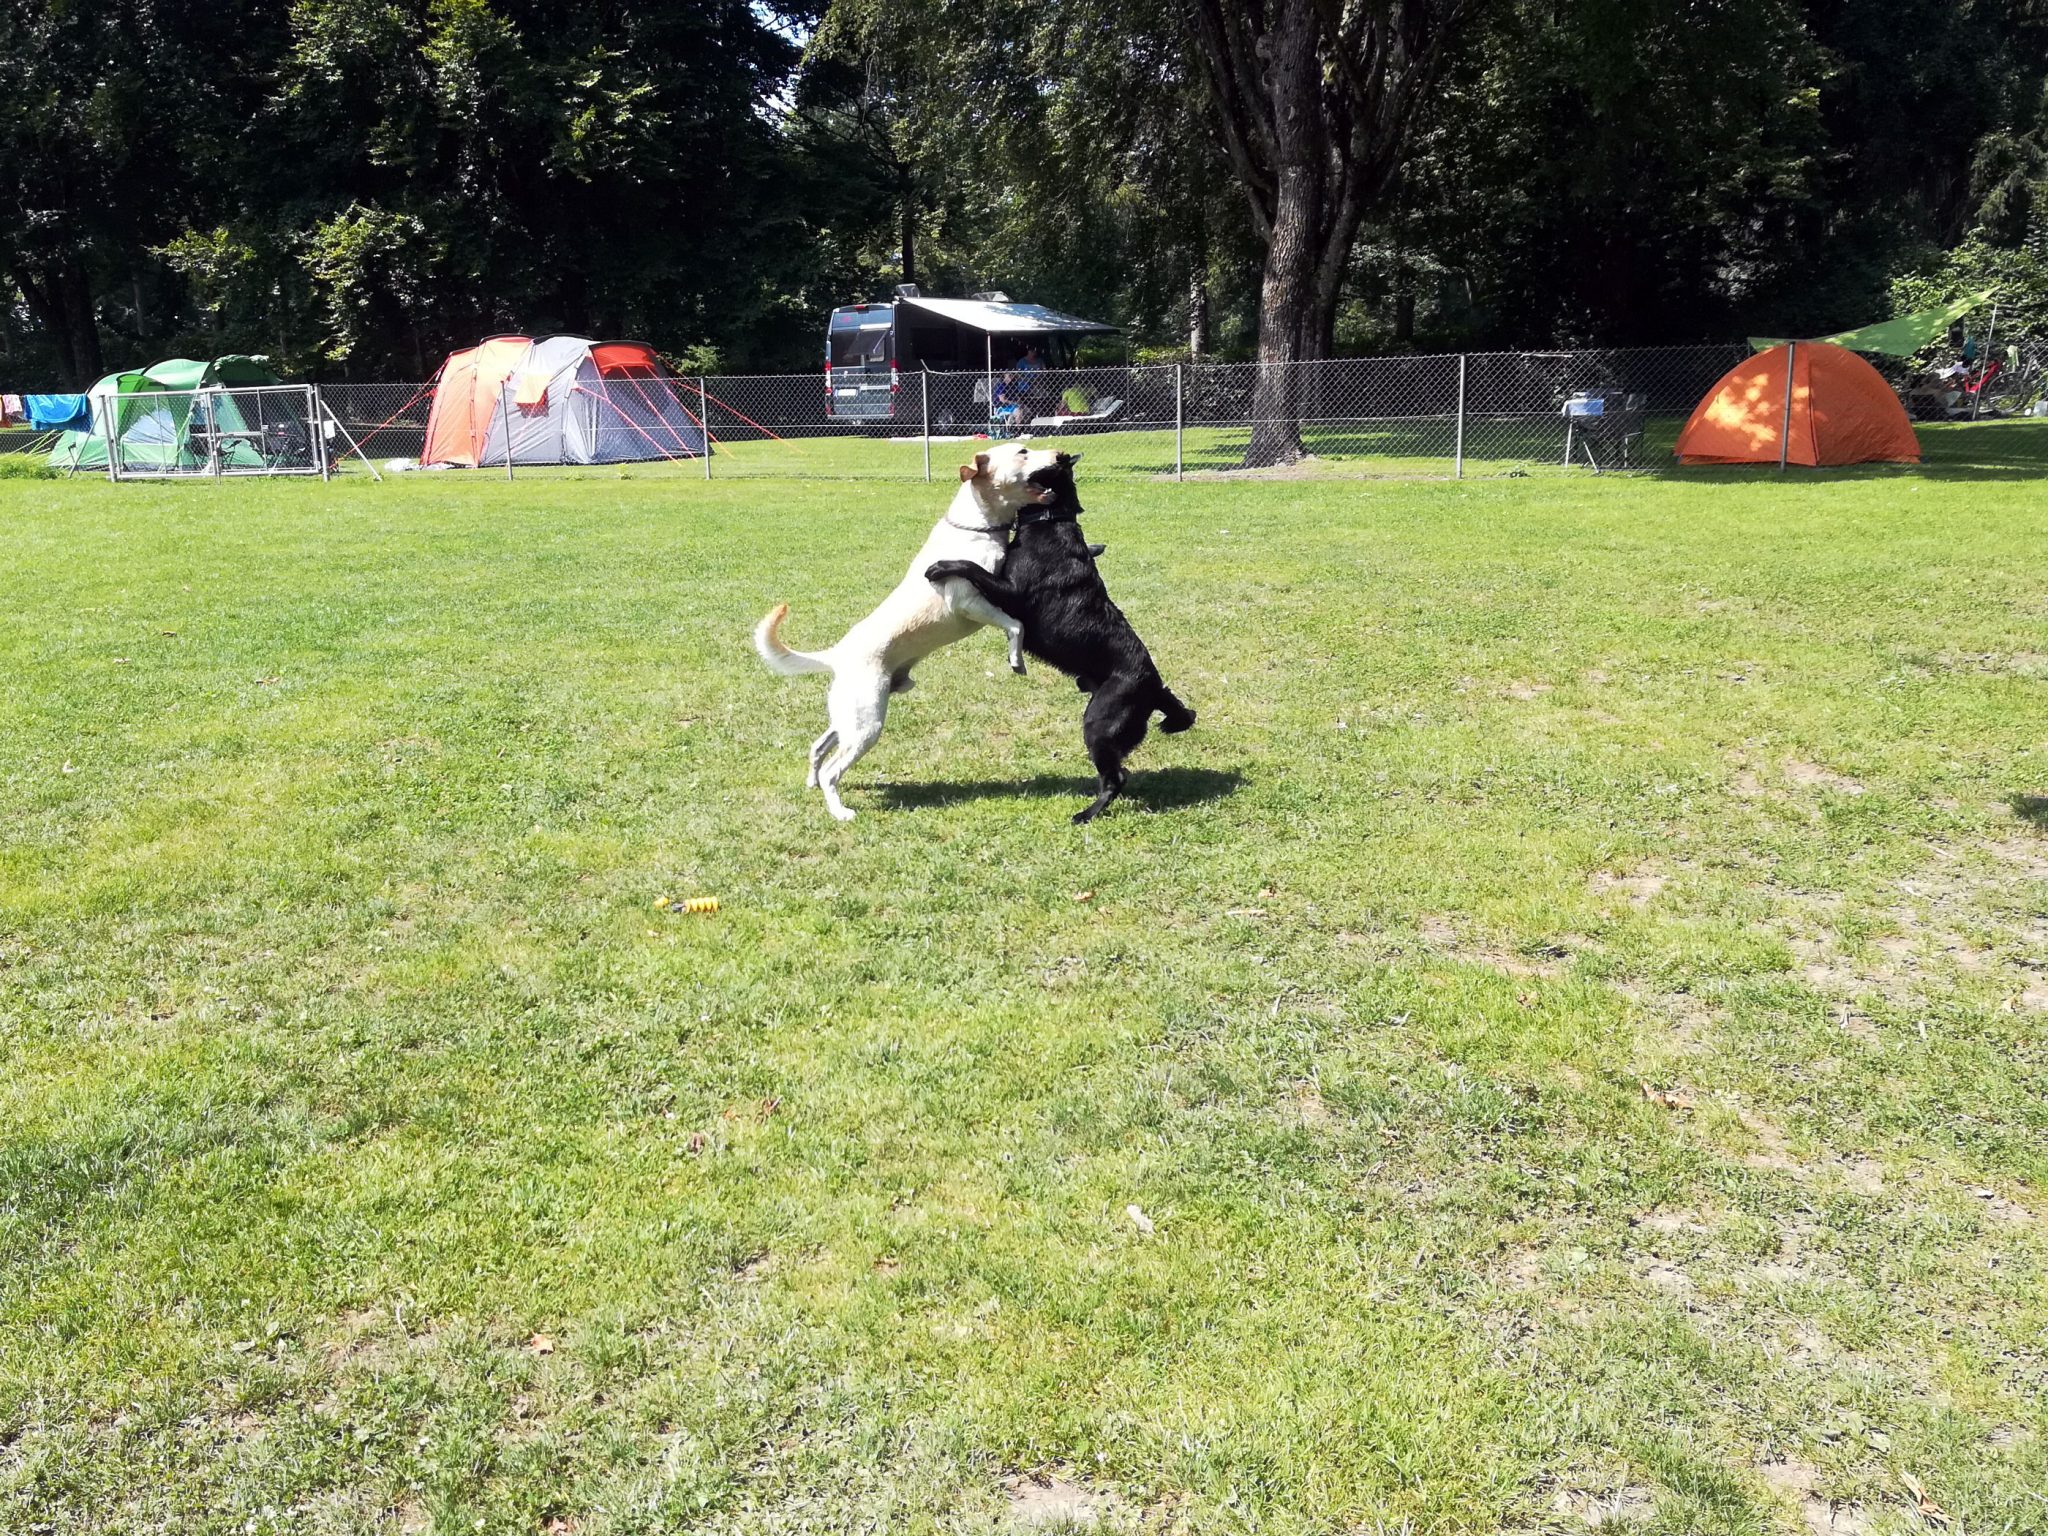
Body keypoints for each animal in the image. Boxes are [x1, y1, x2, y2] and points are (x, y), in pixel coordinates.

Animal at [753, 444, 1056, 823]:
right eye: (1023, 451)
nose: (1060, 454)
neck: (978, 526)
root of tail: (836, 654)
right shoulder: (968, 601)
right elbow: (1016, 623)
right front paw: (1017, 660)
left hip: (848, 718)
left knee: (818, 746)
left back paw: (811, 781)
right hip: (866, 723)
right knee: (832, 770)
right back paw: (840, 811)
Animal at [925, 450, 1196, 823]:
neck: (1049, 519)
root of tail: (1153, 686)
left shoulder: (1011, 592)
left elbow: (971, 567)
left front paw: (941, 566)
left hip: (1098, 723)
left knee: (1116, 777)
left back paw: (1087, 814)